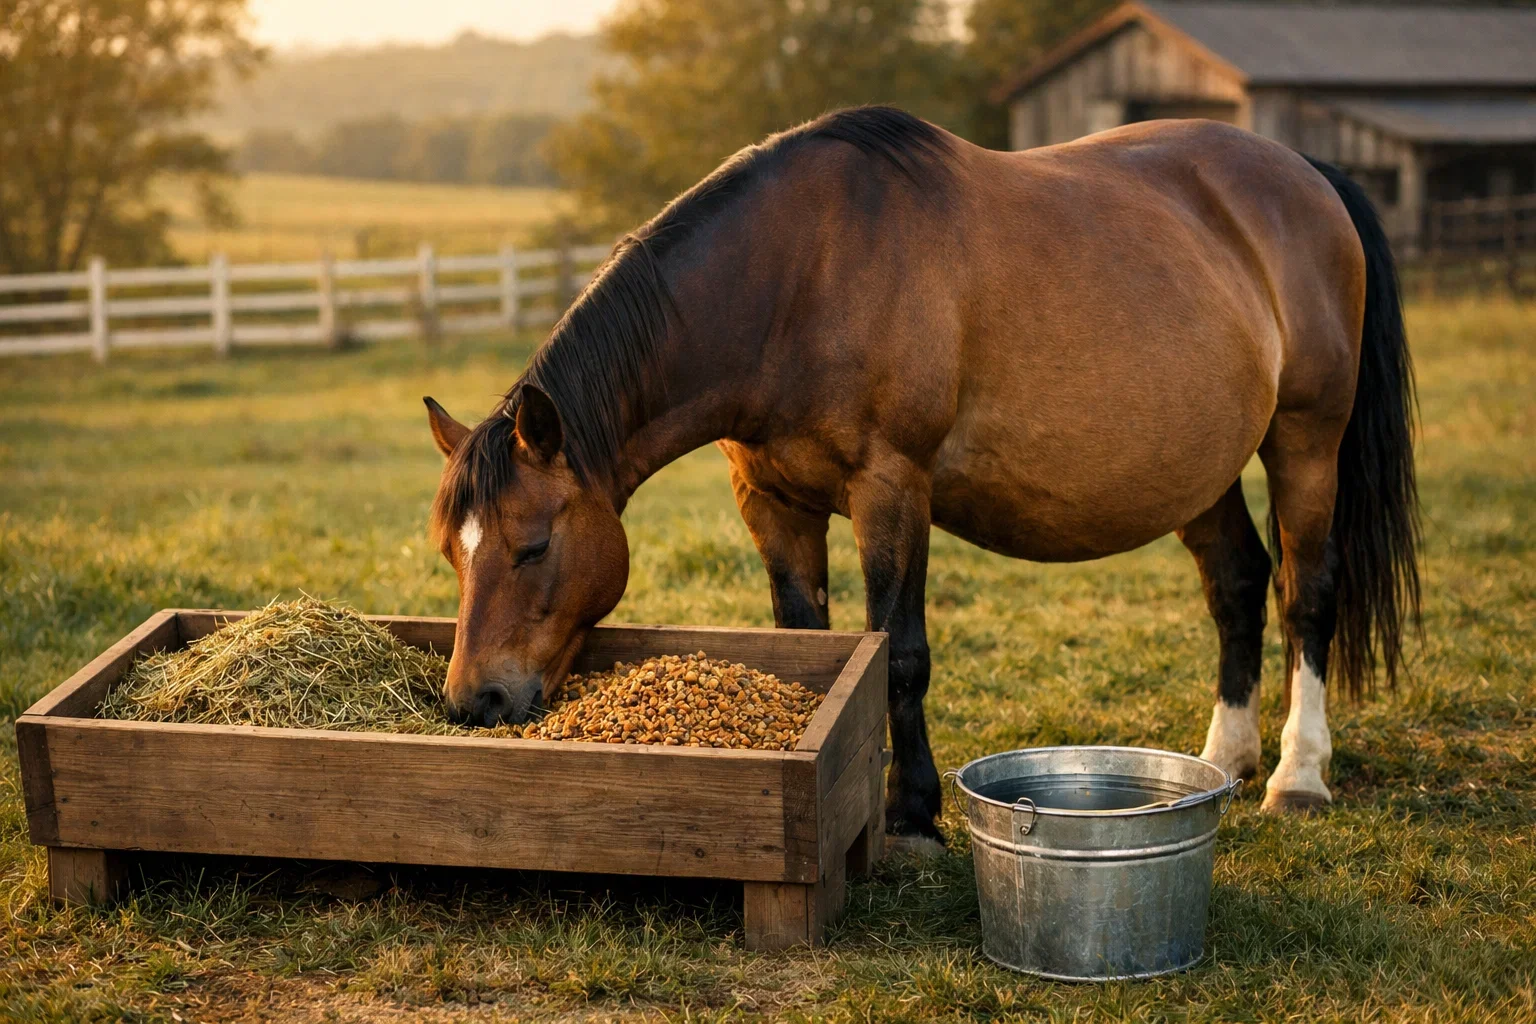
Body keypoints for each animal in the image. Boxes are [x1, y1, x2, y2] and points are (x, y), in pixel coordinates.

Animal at [422, 107, 1419, 844]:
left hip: (1305, 442)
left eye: (533, 545)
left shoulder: (891, 489)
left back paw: (1297, 776)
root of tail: (1307, 173)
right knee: (1237, 584)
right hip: (1196, 468)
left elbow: (897, 653)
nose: (474, 700)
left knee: (1306, 593)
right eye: (451, 554)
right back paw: (1226, 760)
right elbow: (814, 643)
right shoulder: (773, 502)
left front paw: (911, 813)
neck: (797, 275)